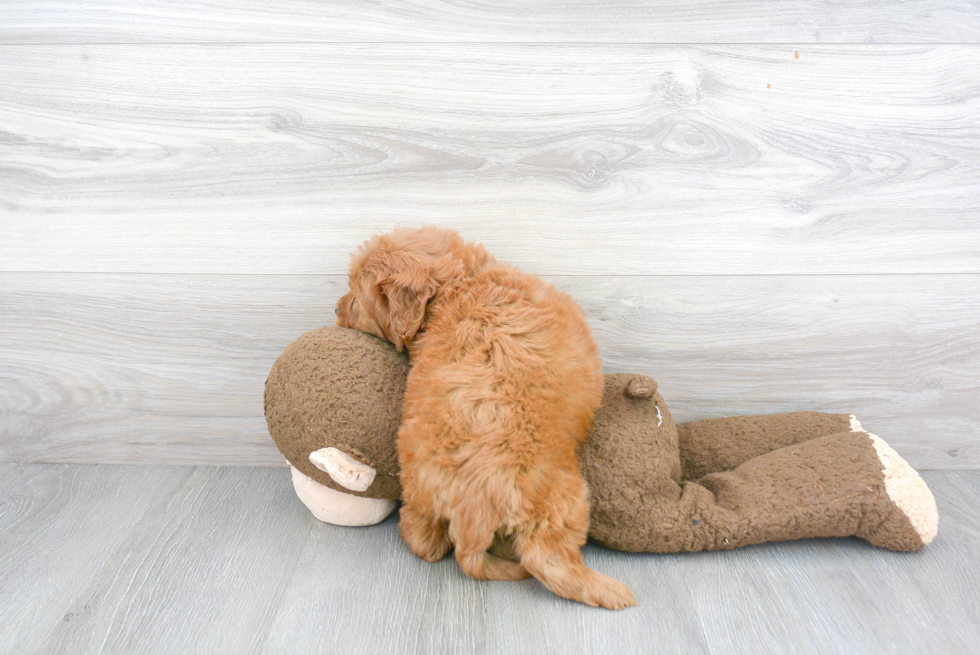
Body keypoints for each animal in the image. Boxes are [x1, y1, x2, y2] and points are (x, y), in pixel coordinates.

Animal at [338, 227, 636, 608]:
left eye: (355, 300)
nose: (335, 308)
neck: (460, 283)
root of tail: (471, 516)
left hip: (419, 487)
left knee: (424, 541)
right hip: (563, 497)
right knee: (546, 558)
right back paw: (611, 591)